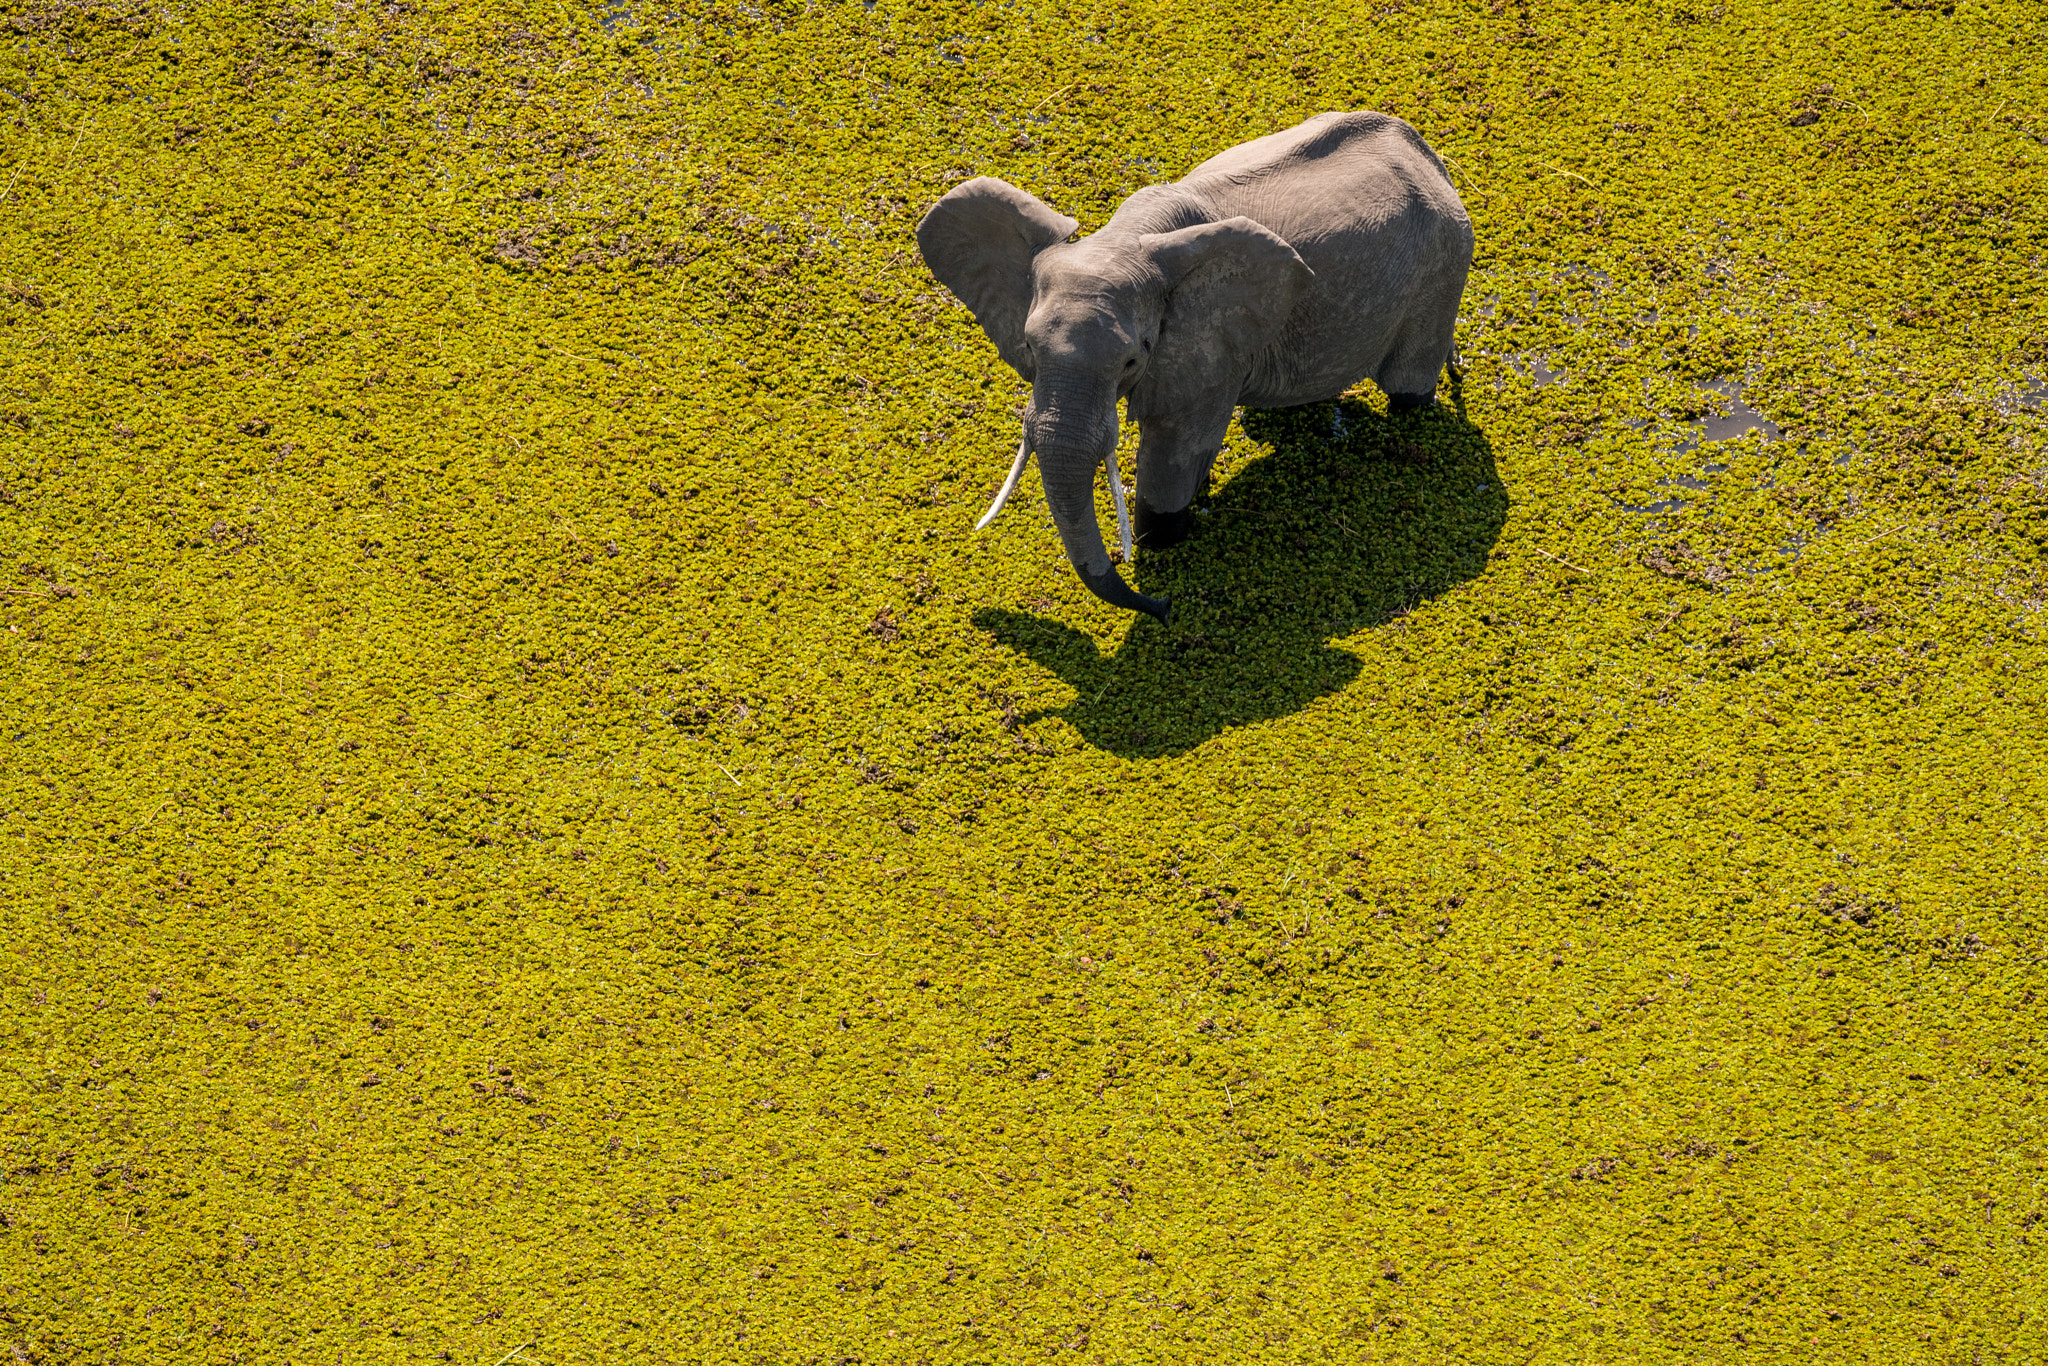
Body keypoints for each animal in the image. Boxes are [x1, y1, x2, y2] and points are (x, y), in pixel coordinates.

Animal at [917, 112, 1474, 626]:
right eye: (1030, 347)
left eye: (1133, 357)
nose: (1165, 609)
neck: (1128, 236)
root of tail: (1430, 157)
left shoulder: (1211, 346)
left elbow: (1174, 451)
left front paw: (1157, 541)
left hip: (1443, 268)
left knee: (1408, 389)